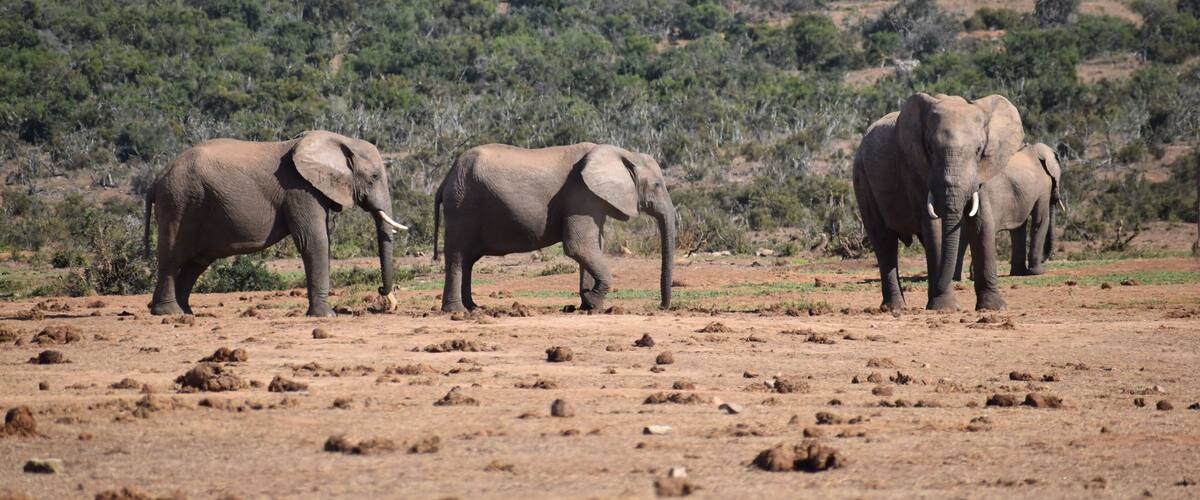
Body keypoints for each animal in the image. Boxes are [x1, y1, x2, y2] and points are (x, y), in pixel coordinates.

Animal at [143, 130, 407, 317]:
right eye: (374, 177)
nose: (383, 298)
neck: (340, 141)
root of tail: (156, 178)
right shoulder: (300, 189)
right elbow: (314, 241)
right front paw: (325, 316)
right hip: (179, 200)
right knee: (172, 255)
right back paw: (170, 312)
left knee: (198, 261)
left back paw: (184, 312)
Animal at [432, 143, 676, 313]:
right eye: (657, 185)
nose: (661, 307)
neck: (622, 153)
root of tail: (446, 179)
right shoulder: (582, 195)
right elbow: (579, 247)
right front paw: (592, 300)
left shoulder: (592, 200)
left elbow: (593, 246)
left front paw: (589, 307)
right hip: (462, 205)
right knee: (457, 256)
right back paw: (458, 311)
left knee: (468, 260)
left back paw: (473, 308)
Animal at [853, 93, 1025, 311]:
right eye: (930, 149)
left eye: (978, 150)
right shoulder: (915, 169)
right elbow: (933, 226)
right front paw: (945, 308)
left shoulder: (981, 171)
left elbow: (982, 222)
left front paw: (993, 308)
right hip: (862, 178)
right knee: (884, 240)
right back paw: (895, 308)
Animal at [954, 143, 1063, 280]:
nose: (1046, 258)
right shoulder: (1044, 187)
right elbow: (1041, 220)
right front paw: (1038, 272)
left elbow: (1018, 228)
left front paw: (1018, 273)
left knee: (963, 233)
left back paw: (957, 278)